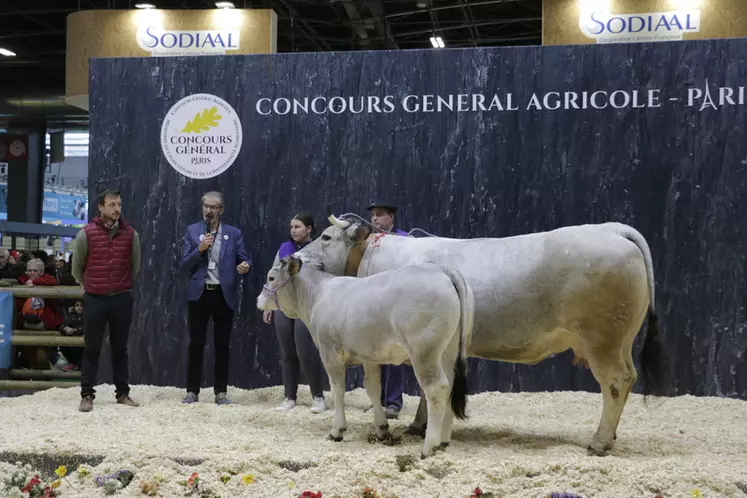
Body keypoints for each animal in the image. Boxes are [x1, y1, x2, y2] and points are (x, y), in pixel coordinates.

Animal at [256, 255, 474, 458]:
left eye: (271, 277)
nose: (258, 300)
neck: (317, 295)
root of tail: (441, 270)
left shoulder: (330, 353)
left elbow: (338, 390)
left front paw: (337, 431)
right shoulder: (369, 357)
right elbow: (373, 389)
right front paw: (381, 428)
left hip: (424, 352)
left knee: (436, 388)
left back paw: (429, 447)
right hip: (448, 352)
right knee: (450, 387)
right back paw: (444, 441)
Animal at [296, 214, 672, 456]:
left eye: (325, 237)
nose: (295, 256)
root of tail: (614, 229)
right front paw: (421, 426)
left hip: (602, 339)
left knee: (616, 382)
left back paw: (599, 441)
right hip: (620, 341)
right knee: (627, 379)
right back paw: (610, 436)